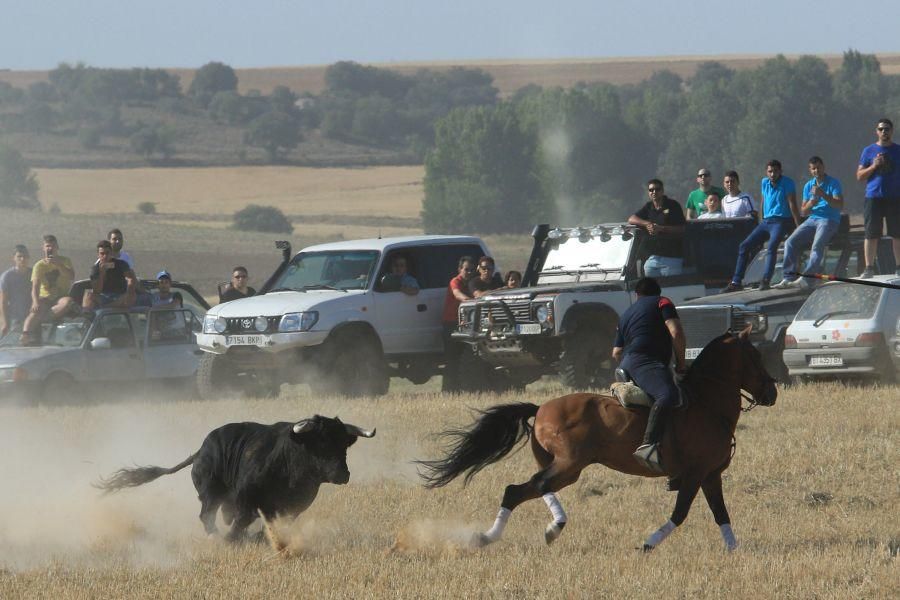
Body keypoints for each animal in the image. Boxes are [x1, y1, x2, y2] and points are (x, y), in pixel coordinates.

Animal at [92, 414, 372, 540]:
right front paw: (233, 540)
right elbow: (242, 520)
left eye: (344, 445)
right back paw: (216, 536)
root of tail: (200, 451)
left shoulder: (294, 507)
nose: (343, 474)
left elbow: (275, 523)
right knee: (207, 515)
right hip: (210, 494)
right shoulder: (247, 499)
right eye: (320, 443)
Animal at [418, 328, 776, 552]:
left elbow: (721, 514)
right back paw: (554, 527)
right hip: (568, 464)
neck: (707, 402)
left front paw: (734, 550)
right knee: (536, 485)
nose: (772, 392)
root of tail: (541, 407)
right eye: (756, 357)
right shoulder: (694, 474)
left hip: (567, 470)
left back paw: (488, 537)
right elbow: (680, 513)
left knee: (517, 491)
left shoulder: (710, 475)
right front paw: (647, 544)